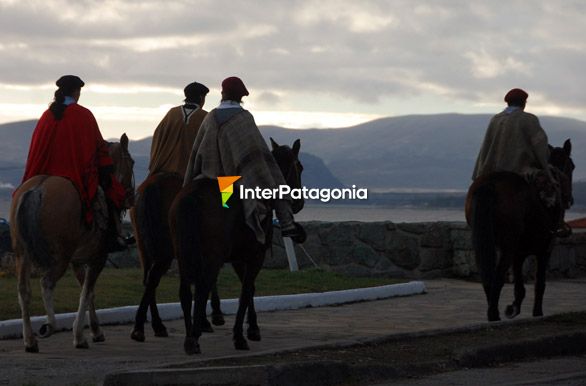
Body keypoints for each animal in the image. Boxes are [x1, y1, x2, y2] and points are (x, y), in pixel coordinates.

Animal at [10, 133, 135, 352]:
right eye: (132, 162)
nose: (131, 197)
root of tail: (36, 190)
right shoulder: (97, 258)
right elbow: (86, 292)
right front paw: (79, 336)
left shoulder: (78, 260)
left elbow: (89, 292)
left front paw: (95, 331)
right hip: (60, 257)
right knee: (46, 282)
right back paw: (49, 325)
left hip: (21, 254)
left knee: (23, 290)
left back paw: (30, 341)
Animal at [129, 173, 225, 342]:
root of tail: (151, 185)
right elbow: (207, 280)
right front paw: (211, 318)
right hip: (166, 252)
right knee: (153, 278)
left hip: (143, 246)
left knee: (149, 279)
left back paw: (150, 326)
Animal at [169, 137, 304, 354]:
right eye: (300, 167)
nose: (299, 203)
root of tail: (191, 197)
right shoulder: (255, 257)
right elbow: (246, 291)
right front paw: (240, 336)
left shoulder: (239, 259)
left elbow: (249, 290)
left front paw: (253, 328)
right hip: (212, 257)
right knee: (202, 289)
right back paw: (195, 335)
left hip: (183, 254)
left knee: (186, 292)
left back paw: (190, 336)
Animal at [464, 140, 572, 322]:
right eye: (572, 166)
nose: (570, 199)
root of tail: (489, 184)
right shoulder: (545, 250)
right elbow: (539, 283)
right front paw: (537, 312)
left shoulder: (519, 253)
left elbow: (519, 285)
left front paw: (513, 308)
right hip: (508, 246)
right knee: (498, 275)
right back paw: (493, 314)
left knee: (488, 273)